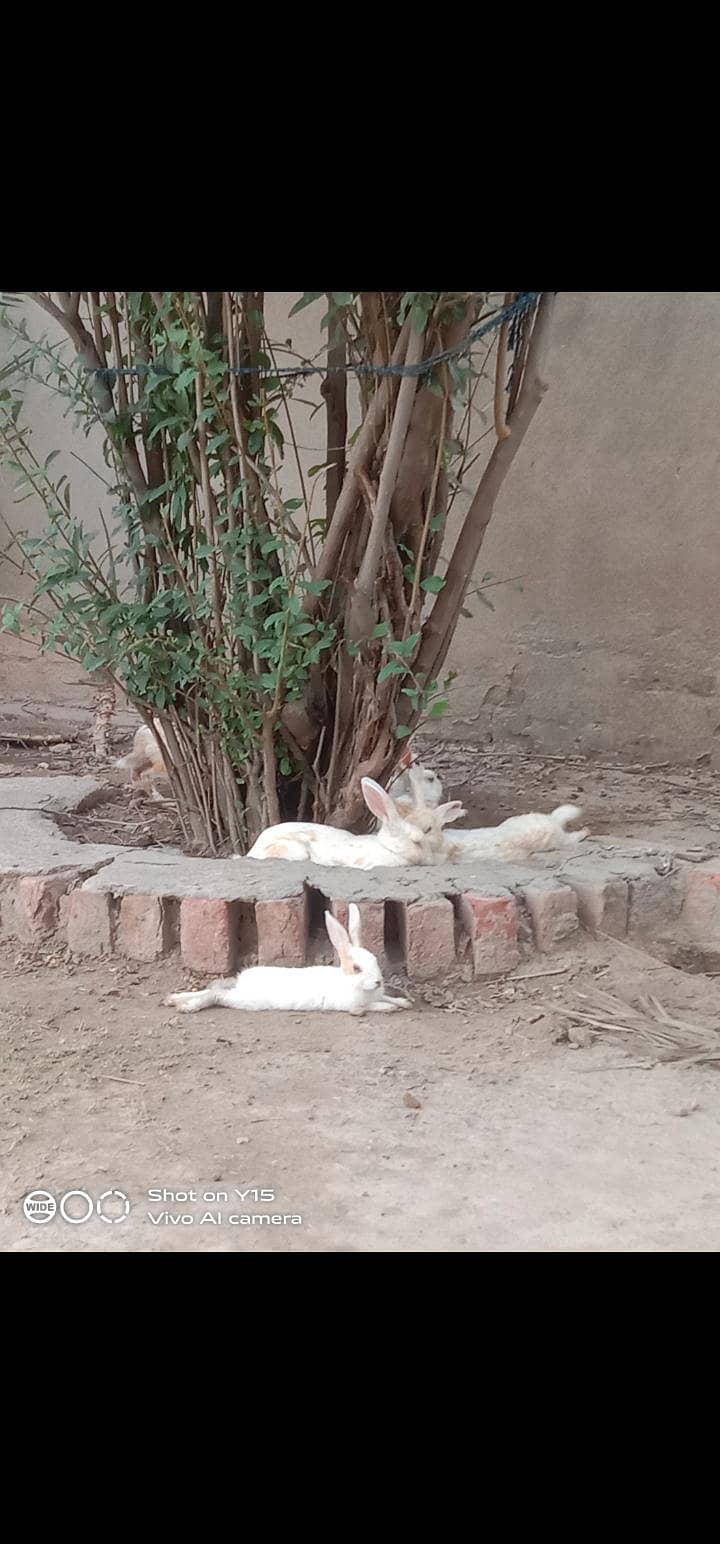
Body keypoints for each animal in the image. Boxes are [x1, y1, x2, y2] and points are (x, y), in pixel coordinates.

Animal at [164, 904, 412, 1016]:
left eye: (375, 960)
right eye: (357, 968)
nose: (378, 981)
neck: (349, 982)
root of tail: (243, 982)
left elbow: (389, 998)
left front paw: (404, 1002)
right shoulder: (352, 1004)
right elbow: (374, 1006)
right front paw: (390, 1008)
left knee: (212, 988)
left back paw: (173, 999)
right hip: (246, 1000)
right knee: (216, 995)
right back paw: (187, 1007)